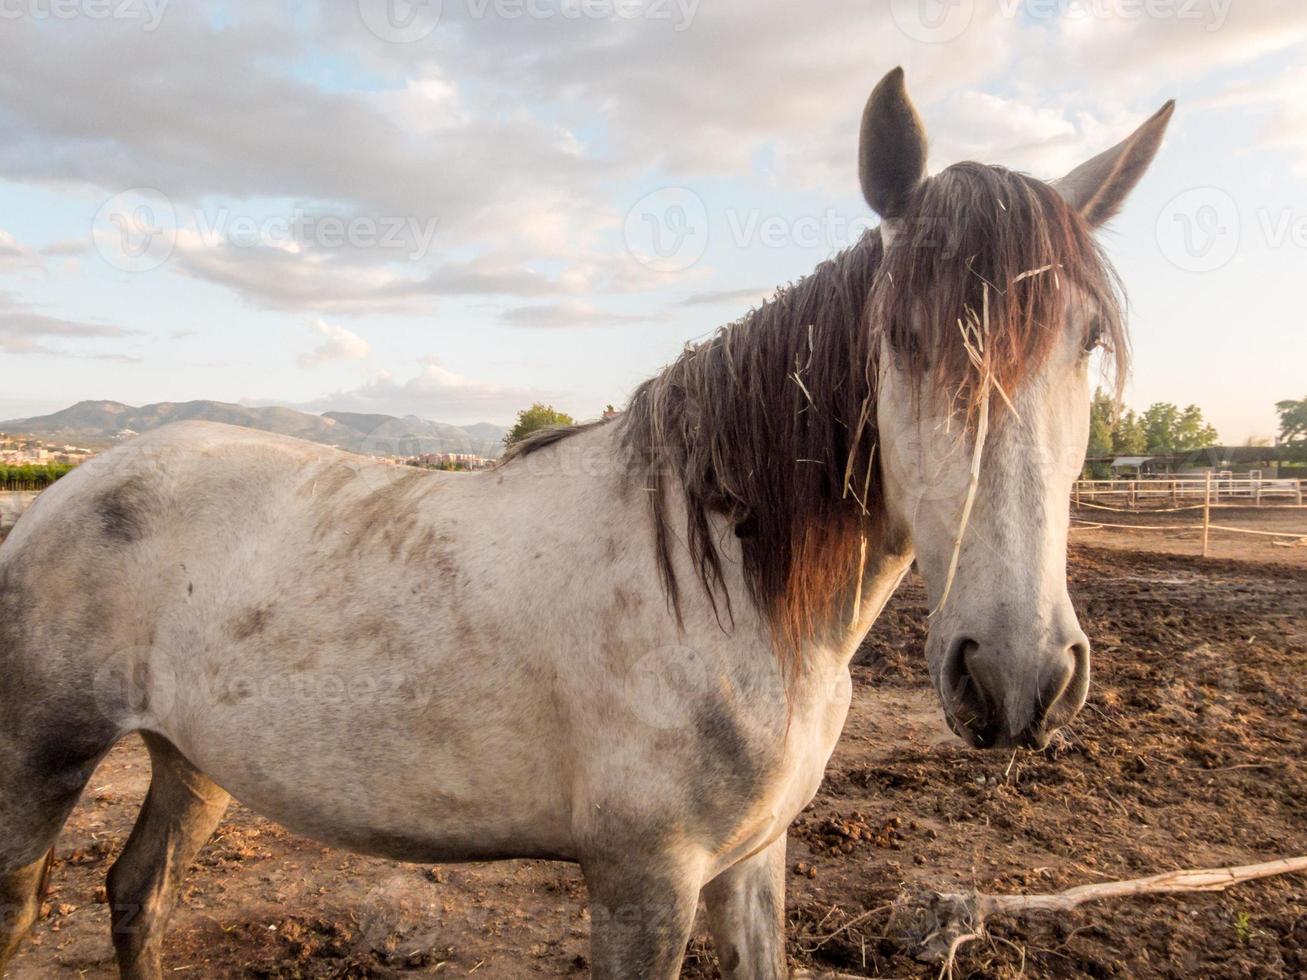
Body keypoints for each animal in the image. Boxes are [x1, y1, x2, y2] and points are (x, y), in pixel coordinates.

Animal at [0, 70, 1176, 980]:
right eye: (907, 335)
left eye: (1082, 340)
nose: (1017, 676)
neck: (726, 587)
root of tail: (57, 493)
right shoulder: (643, 881)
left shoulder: (753, 861)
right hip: (36, 766)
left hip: (189, 757)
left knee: (138, 893)